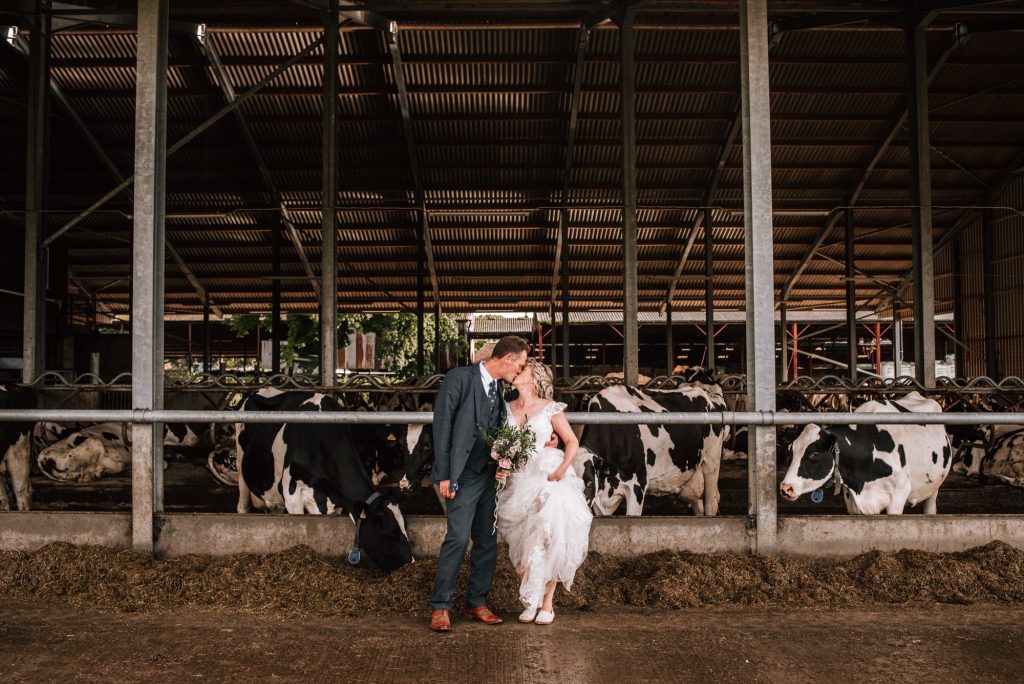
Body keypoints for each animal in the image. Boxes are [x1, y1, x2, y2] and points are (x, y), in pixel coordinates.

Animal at [234, 389, 413, 573]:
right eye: (390, 530)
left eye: (405, 525)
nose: (411, 563)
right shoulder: (292, 495)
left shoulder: (335, 501)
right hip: (241, 465)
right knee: (242, 504)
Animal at [782, 389, 950, 511]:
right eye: (792, 451)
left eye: (814, 453)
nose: (785, 487)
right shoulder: (852, 501)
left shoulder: (899, 494)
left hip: (934, 486)